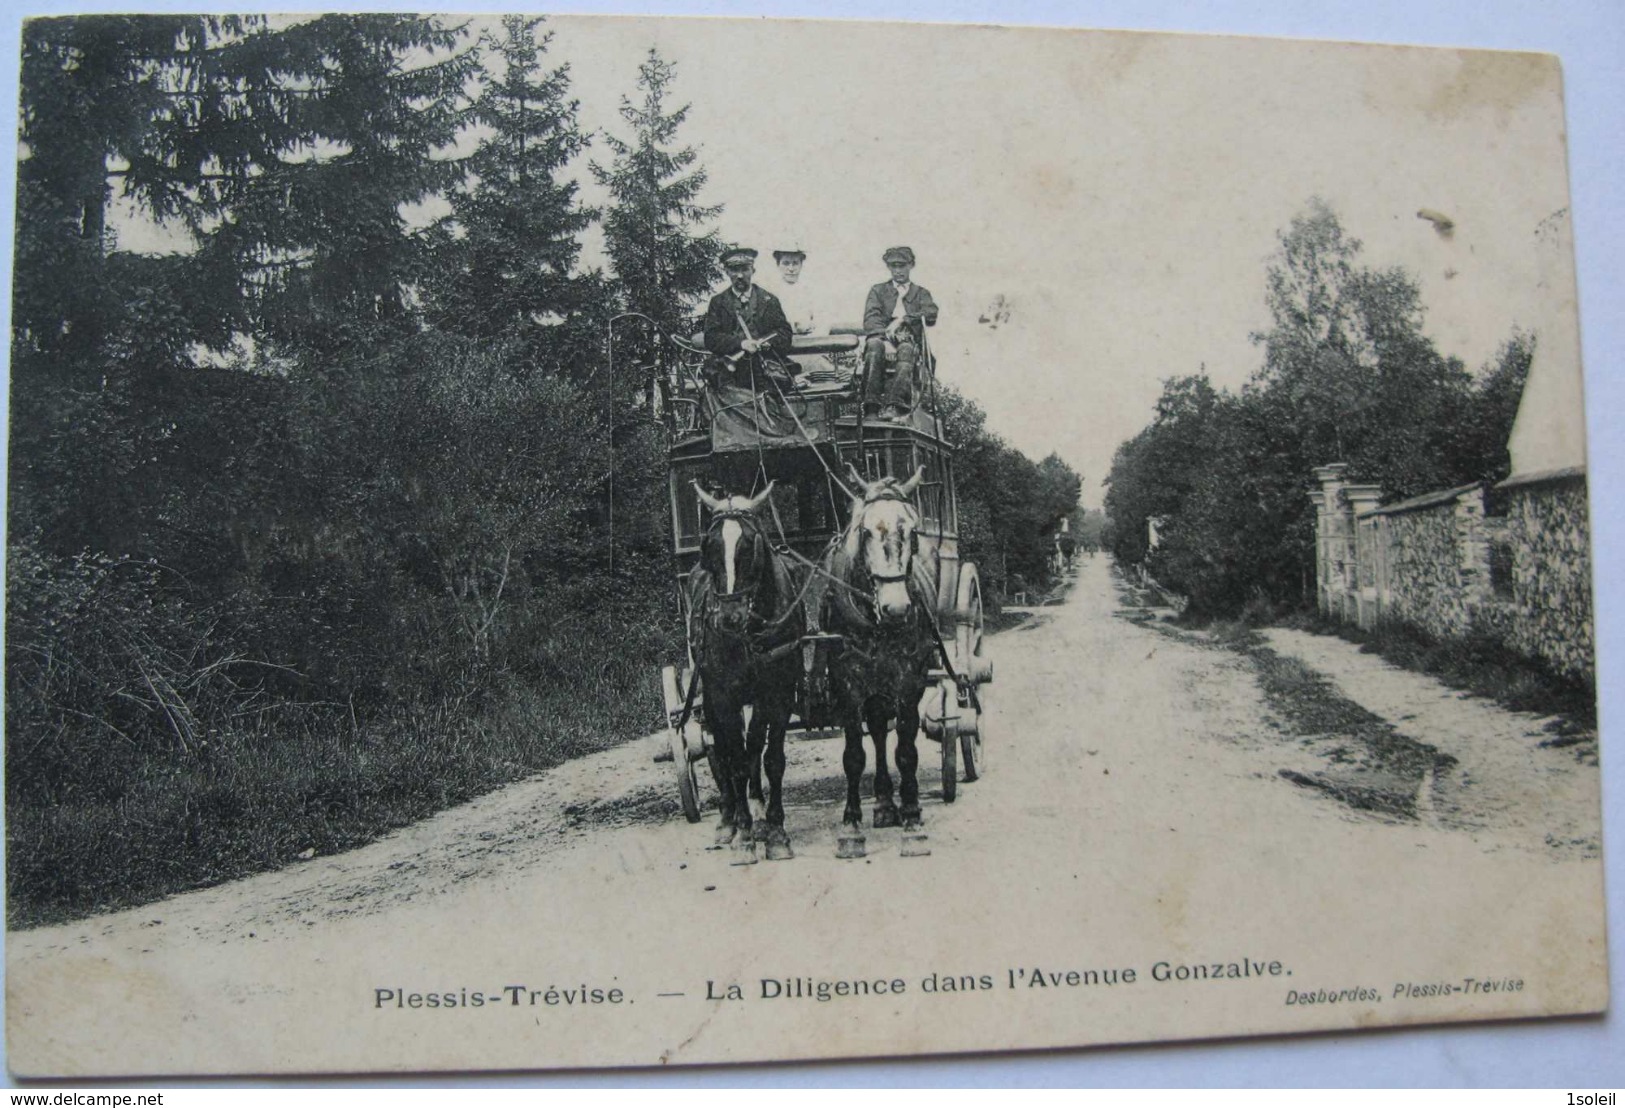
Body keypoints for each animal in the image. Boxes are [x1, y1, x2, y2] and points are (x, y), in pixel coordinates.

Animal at [689, 480, 809, 851]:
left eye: (751, 544)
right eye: (708, 546)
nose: (729, 618)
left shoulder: (777, 693)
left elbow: (770, 757)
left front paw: (775, 827)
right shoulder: (724, 696)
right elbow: (736, 760)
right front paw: (742, 832)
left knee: (753, 745)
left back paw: (756, 805)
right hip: (707, 697)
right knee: (722, 751)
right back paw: (729, 818)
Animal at [825, 464, 942, 851]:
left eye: (913, 530)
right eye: (864, 531)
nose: (896, 609)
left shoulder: (910, 680)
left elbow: (905, 749)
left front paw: (912, 820)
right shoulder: (846, 682)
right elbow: (853, 755)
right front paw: (851, 827)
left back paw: (895, 805)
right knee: (876, 728)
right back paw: (883, 803)